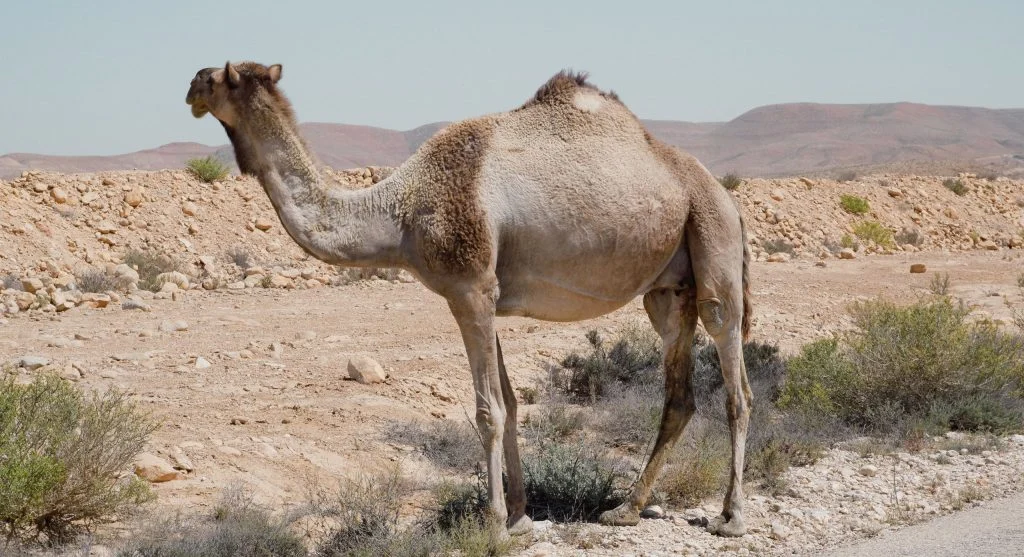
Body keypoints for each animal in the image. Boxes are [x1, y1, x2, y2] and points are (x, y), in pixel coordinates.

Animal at [185, 62, 753, 538]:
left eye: (217, 77)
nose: (189, 86)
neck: (401, 214)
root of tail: (723, 192)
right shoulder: (486, 295)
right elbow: (511, 404)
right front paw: (522, 516)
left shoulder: (469, 288)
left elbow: (487, 410)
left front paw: (495, 524)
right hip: (668, 288)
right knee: (679, 392)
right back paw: (625, 509)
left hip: (714, 240)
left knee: (735, 380)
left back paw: (730, 517)